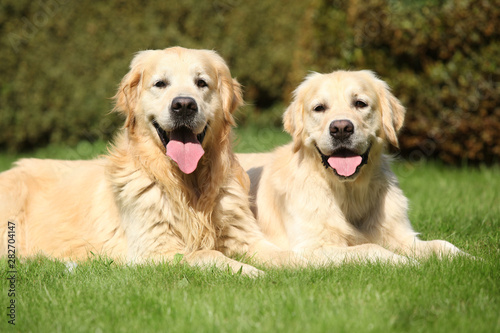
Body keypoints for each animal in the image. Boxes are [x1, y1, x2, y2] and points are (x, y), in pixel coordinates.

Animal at [0, 46, 300, 274]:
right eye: (160, 83)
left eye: (201, 83)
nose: (184, 105)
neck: (186, 184)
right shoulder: (154, 251)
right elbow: (205, 254)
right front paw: (250, 271)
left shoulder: (245, 237)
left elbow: (287, 255)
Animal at [237, 71, 464, 264]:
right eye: (319, 107)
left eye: (360, 103)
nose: (341, 129)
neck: (348, 193)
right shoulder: (311, 247)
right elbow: (370, 247)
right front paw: (408, 263)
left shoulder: (403, 236)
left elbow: (443, 245)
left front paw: (468, 260)